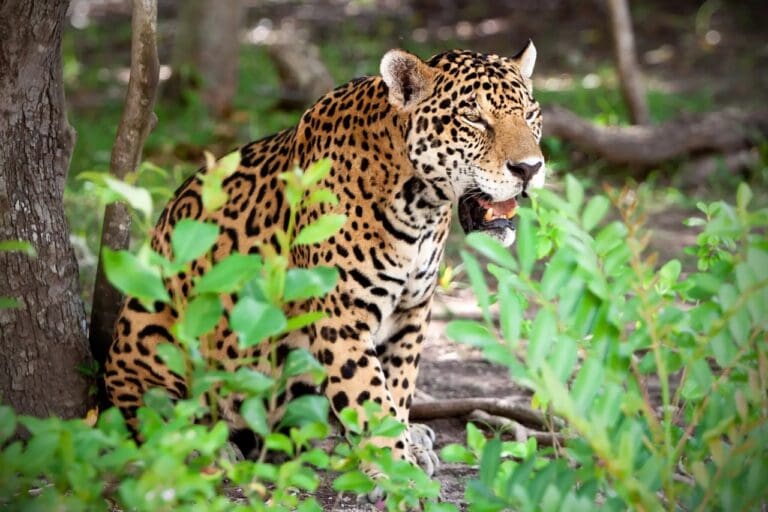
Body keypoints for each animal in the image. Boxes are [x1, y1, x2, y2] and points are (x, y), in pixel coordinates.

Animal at [104, 41, 546, 495]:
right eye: (474, 119)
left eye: (531, 115)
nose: (530, 169)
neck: (419, 205)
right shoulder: (343, 316)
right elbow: (370, 395)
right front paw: (399, 474)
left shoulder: (412, 311)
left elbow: (397, 386)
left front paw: (404, 444)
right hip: (152, 330)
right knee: (152, 415)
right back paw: (206, 446)